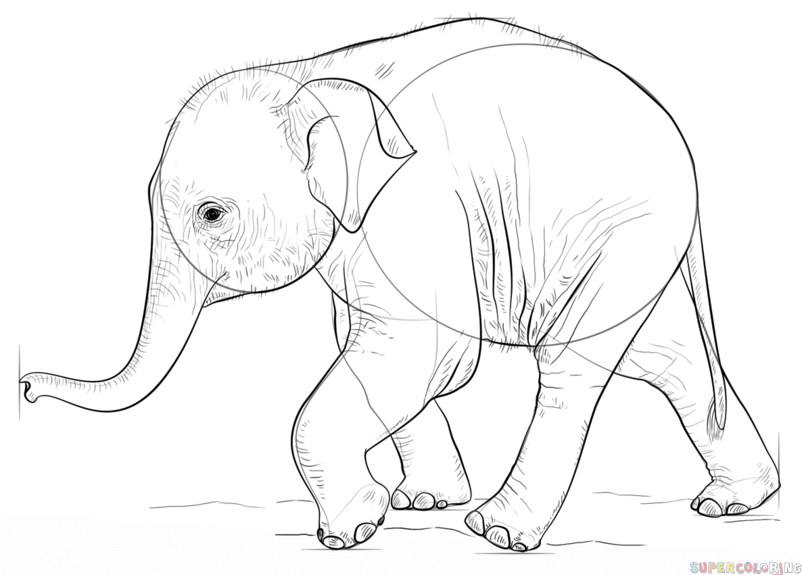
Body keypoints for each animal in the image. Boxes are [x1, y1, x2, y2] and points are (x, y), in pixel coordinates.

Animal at [21, 17, 779, 551]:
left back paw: (501, 533)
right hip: (636, 254)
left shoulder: (416, 209)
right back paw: (735, 500)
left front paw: (350, 531)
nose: (25, 387)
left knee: (572, 368)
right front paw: (420, 502)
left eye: (212, 214)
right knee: (669, 359)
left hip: (623, 233)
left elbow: (426, 350)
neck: (311, 74)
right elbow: (388, 352)